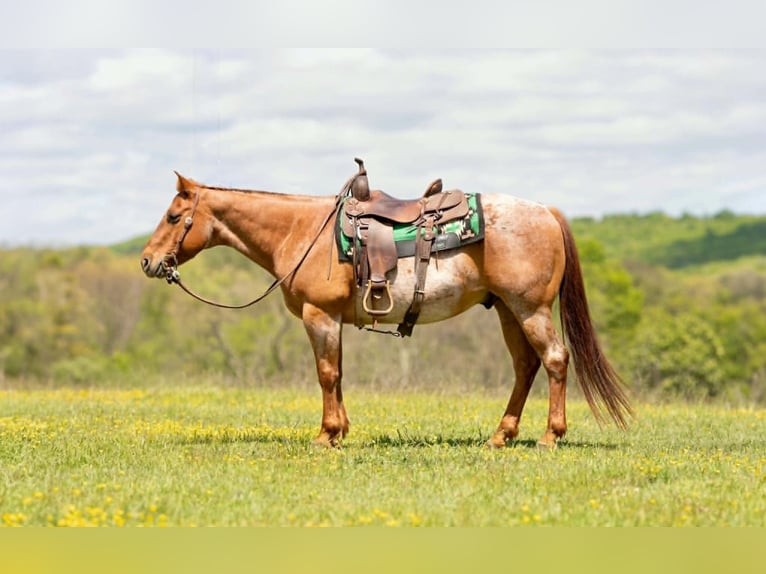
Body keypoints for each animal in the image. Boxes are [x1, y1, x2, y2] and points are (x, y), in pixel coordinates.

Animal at [140, 169, 632, 448]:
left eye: (172, 217)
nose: (147, 260)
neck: (302, 231)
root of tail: (546, 211)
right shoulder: (333, 319)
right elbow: (337, 373)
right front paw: (340, 431)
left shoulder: (319, 315)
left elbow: (326, 374)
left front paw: (325, 436)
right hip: (509, 311)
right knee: (526, 366)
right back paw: (501, 435)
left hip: (530, 309)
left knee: (554, 360)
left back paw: (550, 436)